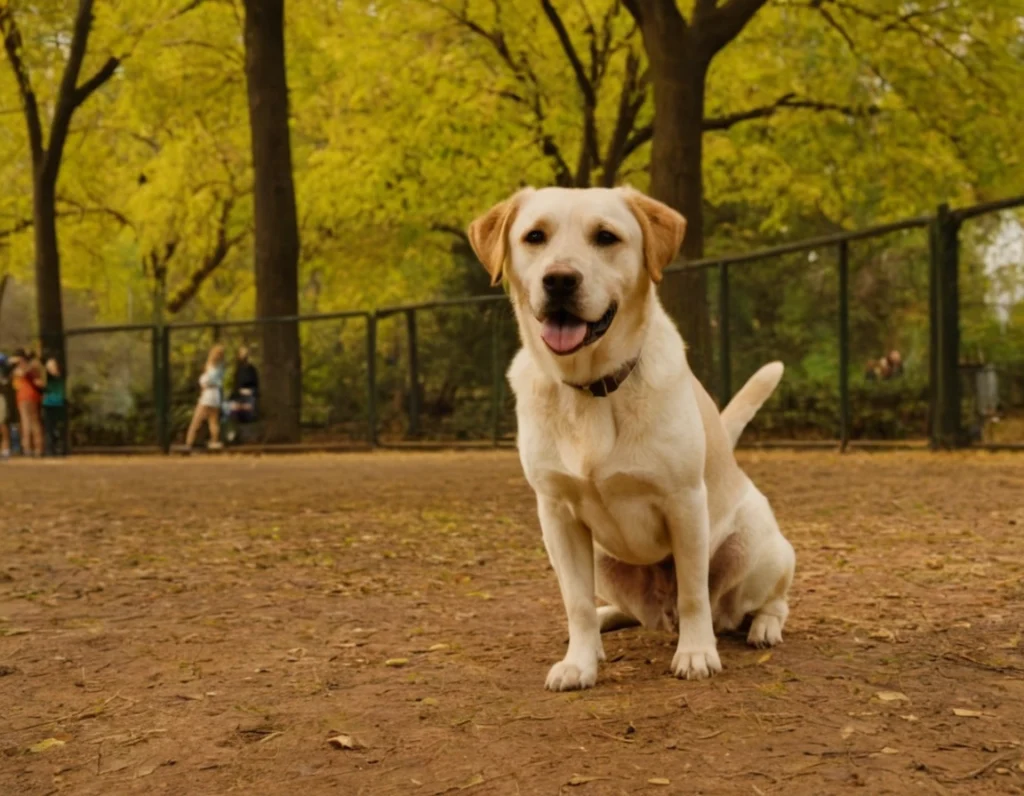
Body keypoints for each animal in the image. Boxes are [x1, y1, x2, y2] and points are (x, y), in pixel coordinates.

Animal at [468, 186, 794, 688]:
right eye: (534, 236)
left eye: (606, 236)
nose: (559, 280)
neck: (591, 388)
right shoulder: (556, 514)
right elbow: (576, 602)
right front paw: (580, 662)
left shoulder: (684, 503)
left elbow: (694, 594)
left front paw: (696, 655)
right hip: (604, 560)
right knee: (625, 612)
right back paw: (606, 626)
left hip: (756, 547)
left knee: (760, 602)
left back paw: (762, 627)